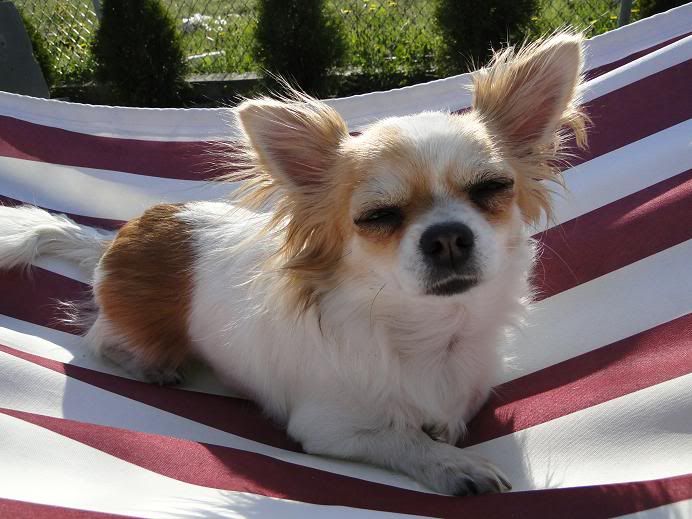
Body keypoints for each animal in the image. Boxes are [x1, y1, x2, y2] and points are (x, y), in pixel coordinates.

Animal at [0, 32, 586, 495]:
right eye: (377, 217)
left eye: (492, 188)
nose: (446, 237)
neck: (429, 335)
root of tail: (120, 238)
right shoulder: (329, 427)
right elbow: (404, 439)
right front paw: (455, 465)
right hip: (140, 328)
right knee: (101, 340)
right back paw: (149, 366)